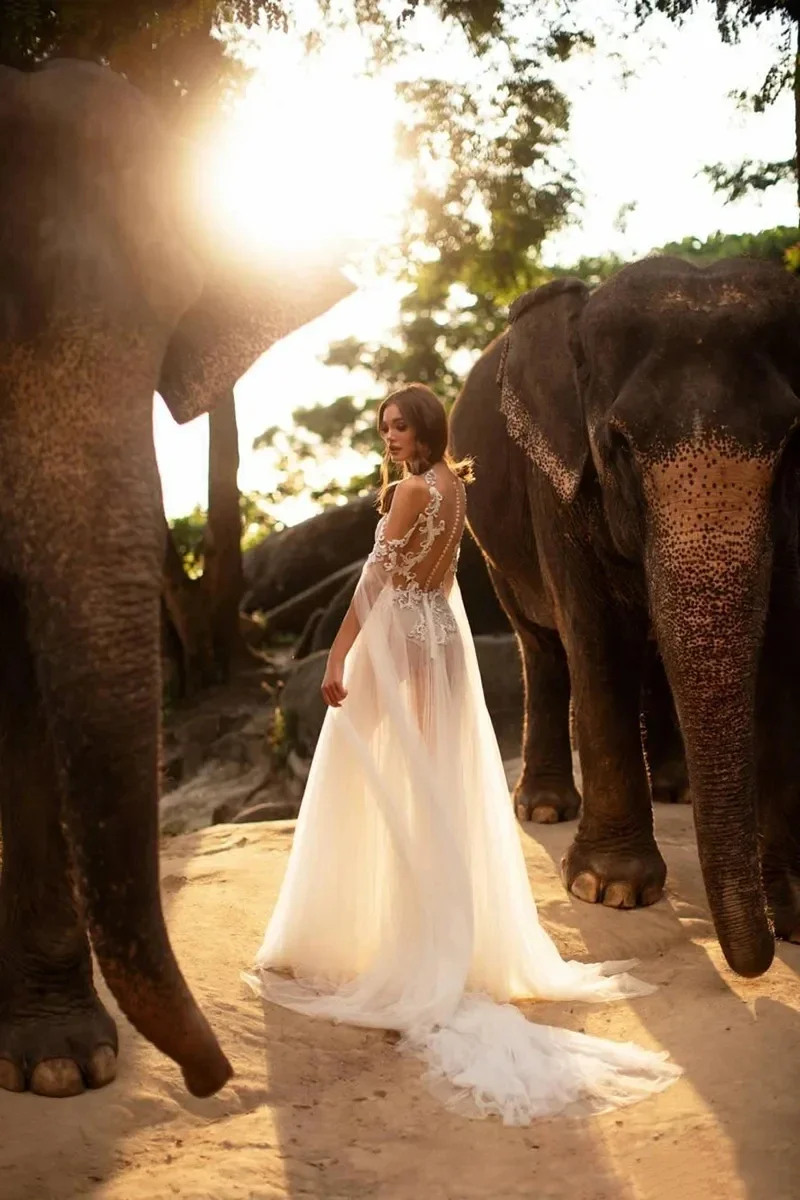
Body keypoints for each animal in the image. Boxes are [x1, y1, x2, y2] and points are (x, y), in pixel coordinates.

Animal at [450, 258, 800, 979]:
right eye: (618, 446)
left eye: (791, 445)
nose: (757, 959)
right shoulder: (554, 480)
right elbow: (598, 640)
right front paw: (610, 890)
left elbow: (782, 644)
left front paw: (794, 912)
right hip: (496, 553)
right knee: (544, 651)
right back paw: (545, 807)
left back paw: (676, 791)